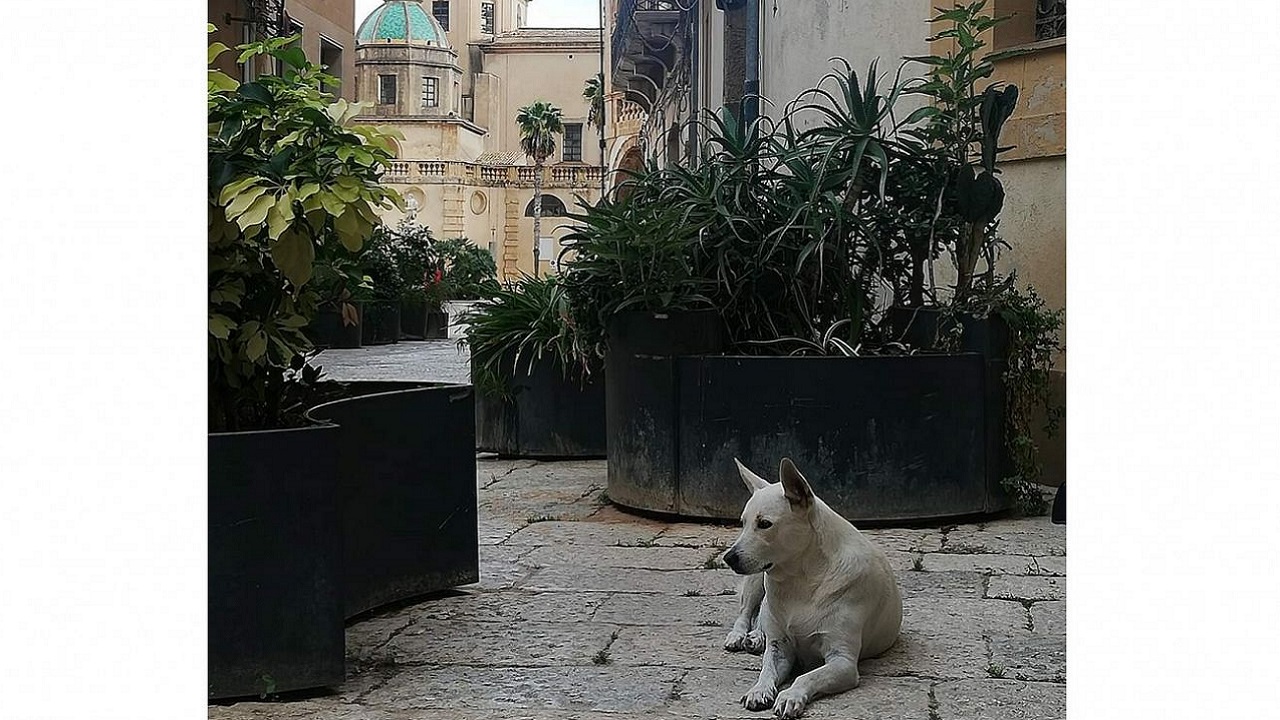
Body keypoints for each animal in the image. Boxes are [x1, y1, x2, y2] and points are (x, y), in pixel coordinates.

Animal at [721, 456, 901, 712]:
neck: (800, 579)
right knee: (747, 613)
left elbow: (807, 676)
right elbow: (766, 671)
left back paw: (757, 637)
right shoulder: (780, 650)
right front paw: (759, 690)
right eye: (742, 523)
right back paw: (742, 636)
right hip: (756, 580)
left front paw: (790, 695)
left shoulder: (843, 662)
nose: (728, 558)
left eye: (764, 524)